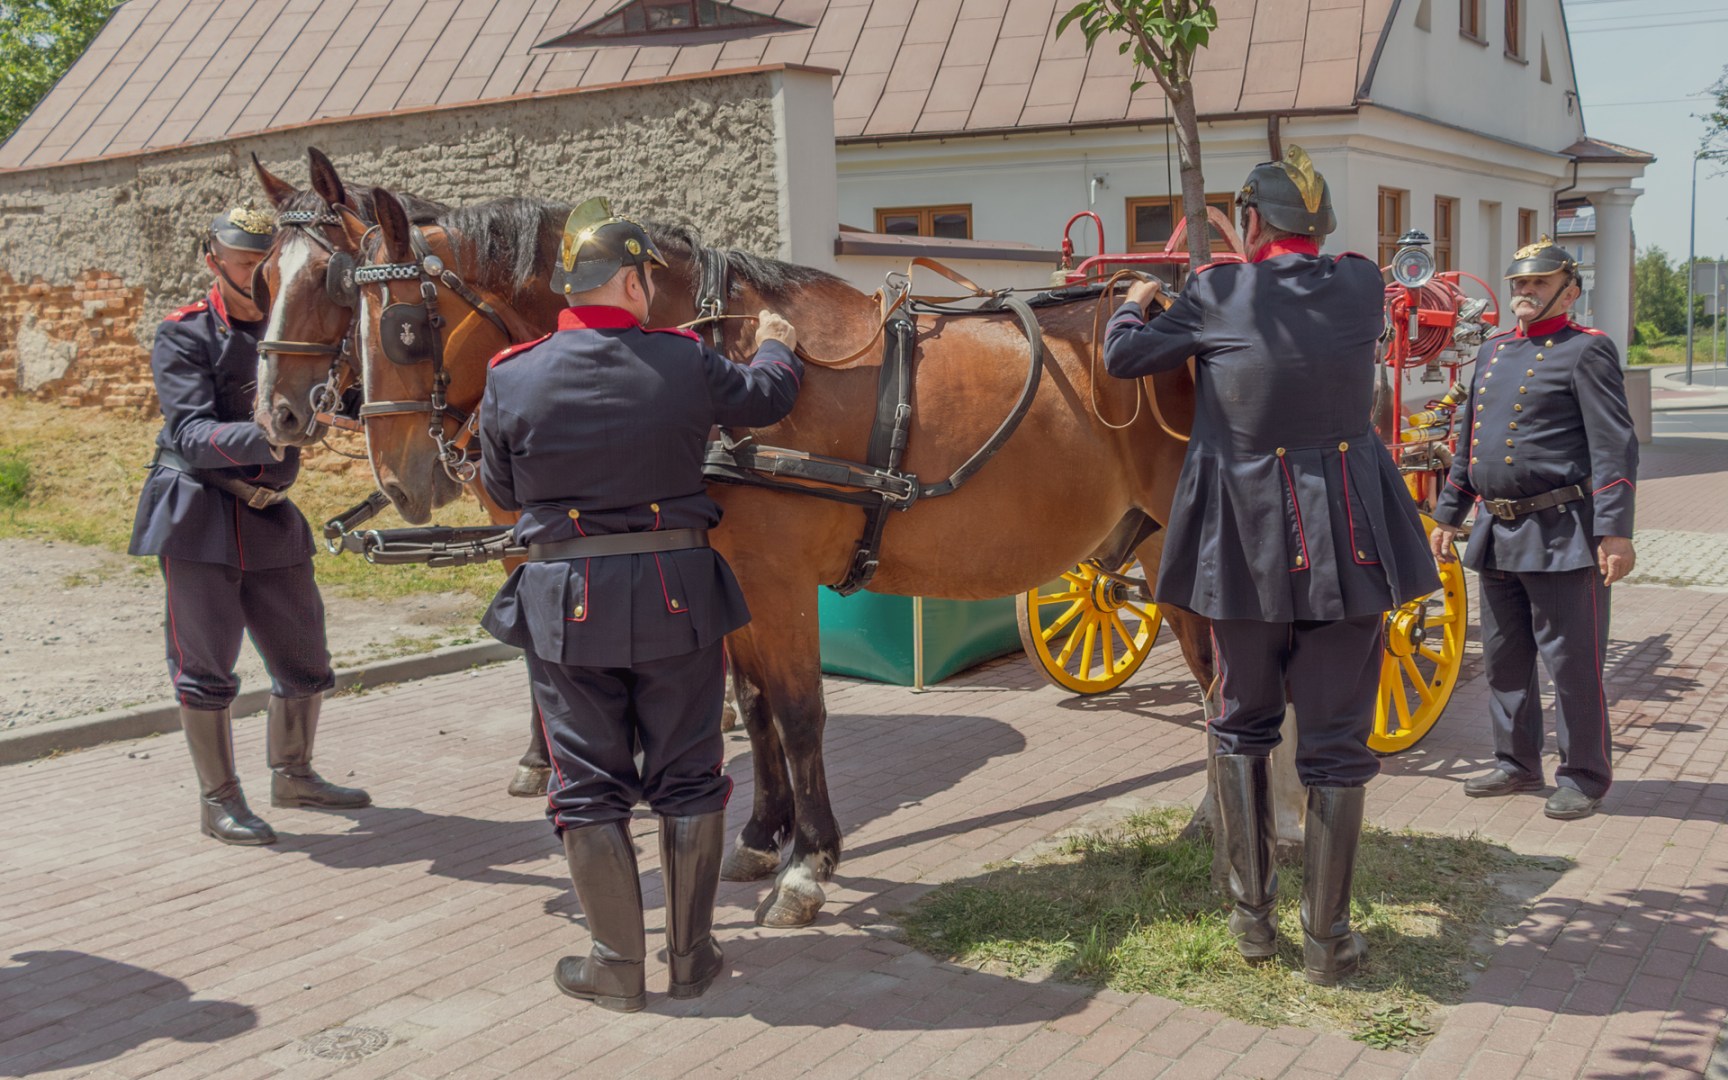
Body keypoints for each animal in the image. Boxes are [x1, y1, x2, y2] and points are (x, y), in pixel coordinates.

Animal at [339, 187, 1216, 927]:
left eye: (406, 327)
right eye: (351, 321)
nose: (402, 479)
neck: (716, 356)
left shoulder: (778, 577)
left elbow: (800, 712)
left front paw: (809, 864)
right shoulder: (730, 578)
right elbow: (755, 706)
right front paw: (763, 836)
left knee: (1221, 679)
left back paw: (1217, 819)